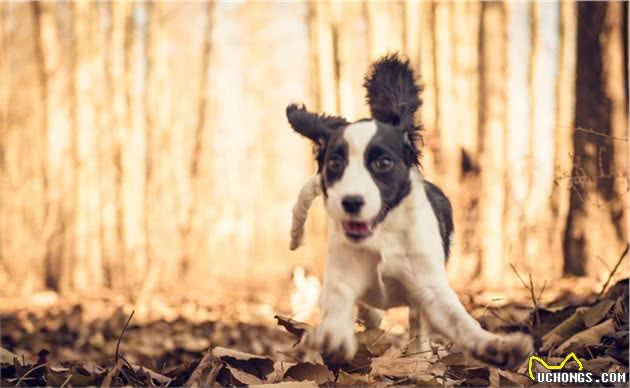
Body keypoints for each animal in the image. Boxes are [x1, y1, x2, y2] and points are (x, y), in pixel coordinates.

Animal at [288, 54, 536, 370]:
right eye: (334, 163)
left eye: (383, 162)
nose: (351, 202)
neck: (383, 237)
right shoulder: (342, 275)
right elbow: (338, 302)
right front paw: (333, 338)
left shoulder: (429, 285)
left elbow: (458, 321)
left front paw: (499, 347)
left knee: (416, 321)